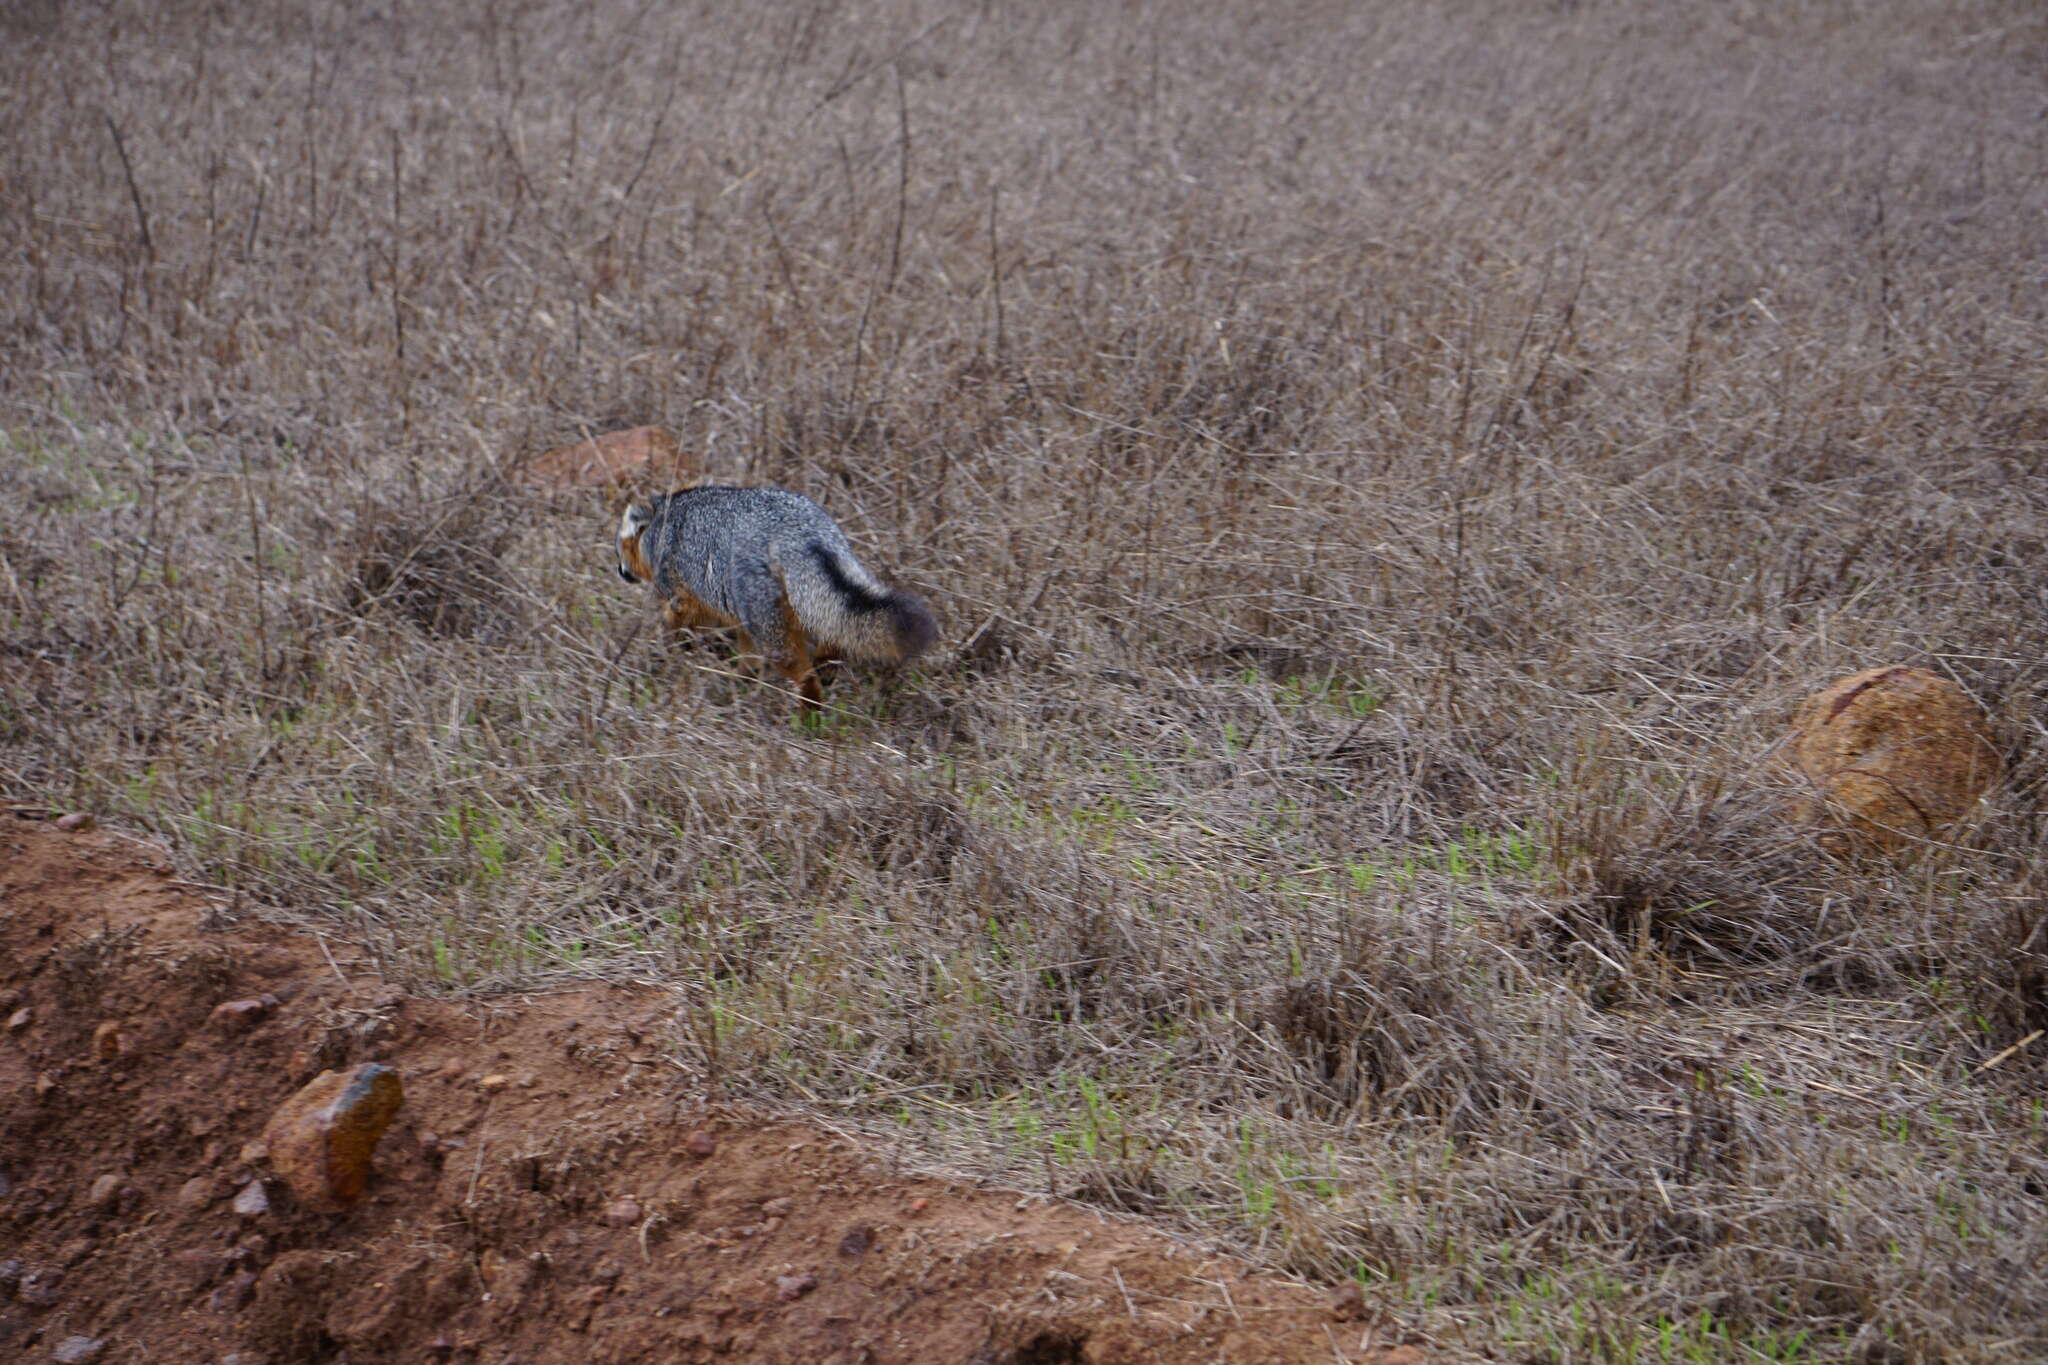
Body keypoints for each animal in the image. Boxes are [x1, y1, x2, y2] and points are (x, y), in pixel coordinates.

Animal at [610, 485, 937, 712]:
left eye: (618, 549)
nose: (620, 571)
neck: (663, 518)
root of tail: (796, 532)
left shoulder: (687, 595)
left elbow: (673, 618)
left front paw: (670, 644)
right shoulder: (735, 612)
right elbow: (747, 659)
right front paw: (739, 681)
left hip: (771, 629)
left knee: (803, 674)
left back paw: (810, 717)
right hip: (806, 601)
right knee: (835, 637)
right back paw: (823, 669)